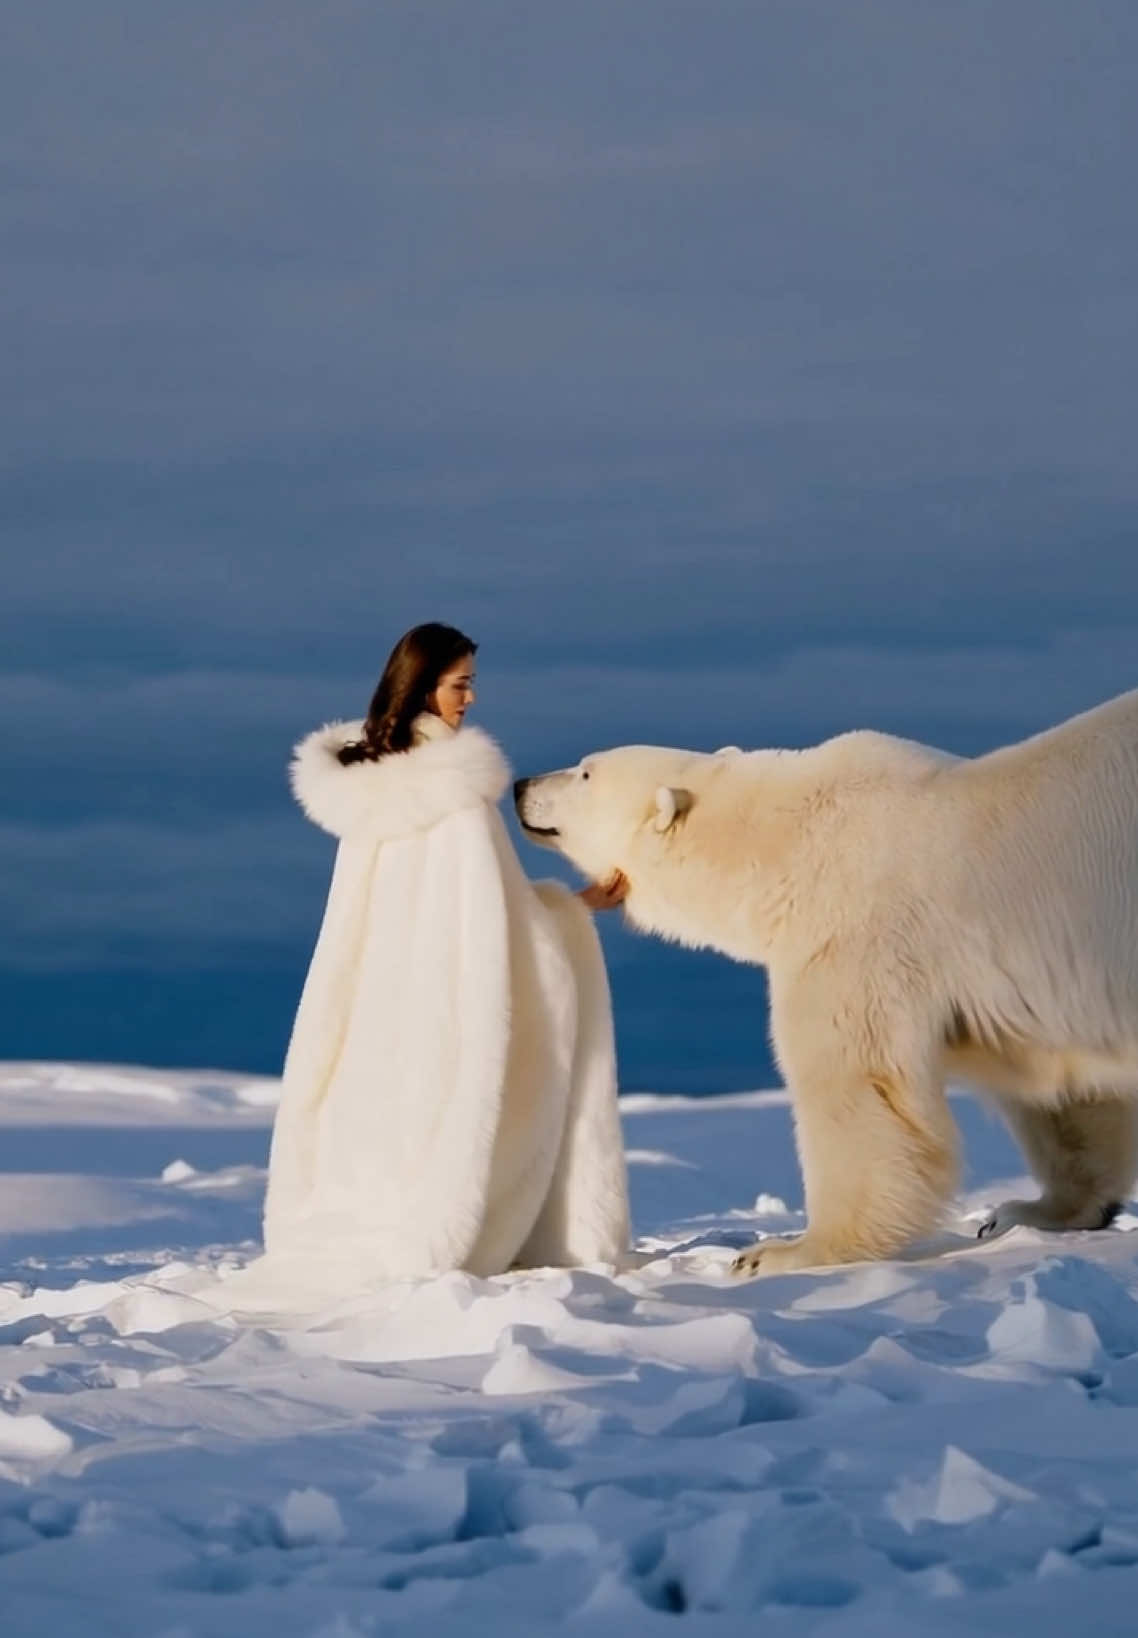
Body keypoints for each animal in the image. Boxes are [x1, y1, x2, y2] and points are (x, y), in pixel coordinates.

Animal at [517, 684, 1138, 1271]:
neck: (783, 848)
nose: (522, 784)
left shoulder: (854, 938)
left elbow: (857, 1085)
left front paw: (785, 1252)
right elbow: (1063, 1086)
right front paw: (1035, 1210)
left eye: (585, 770)